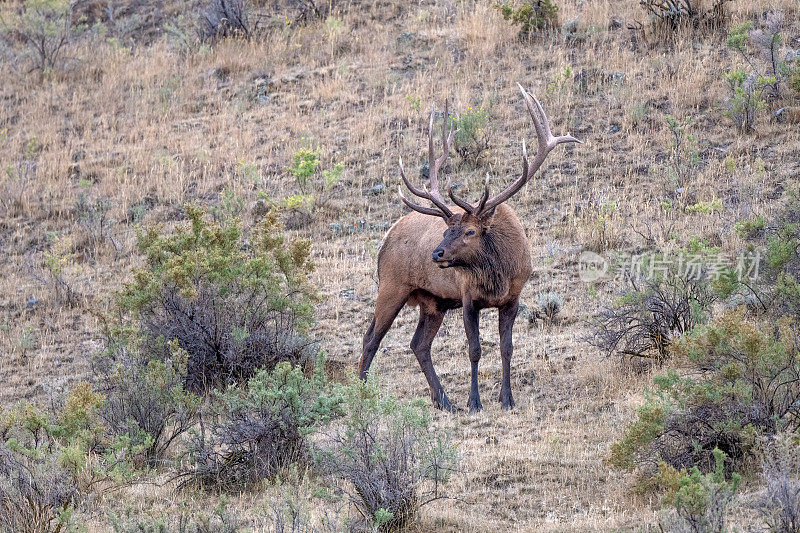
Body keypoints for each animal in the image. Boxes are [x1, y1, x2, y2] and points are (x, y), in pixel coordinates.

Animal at [360, 84, 580, 412]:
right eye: (445, 230)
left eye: (470, 230)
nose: (436, 253)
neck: (497, 275)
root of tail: (384, 242)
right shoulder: (467, 297)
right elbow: (474, 350)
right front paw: (475, 401)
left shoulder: (513, 297)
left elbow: (507, 348)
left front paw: (507, 399)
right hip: (392, 285)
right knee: (371, 337)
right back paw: (361, 391)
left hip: (432, 301)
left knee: (418, 344)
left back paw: (444, 401)